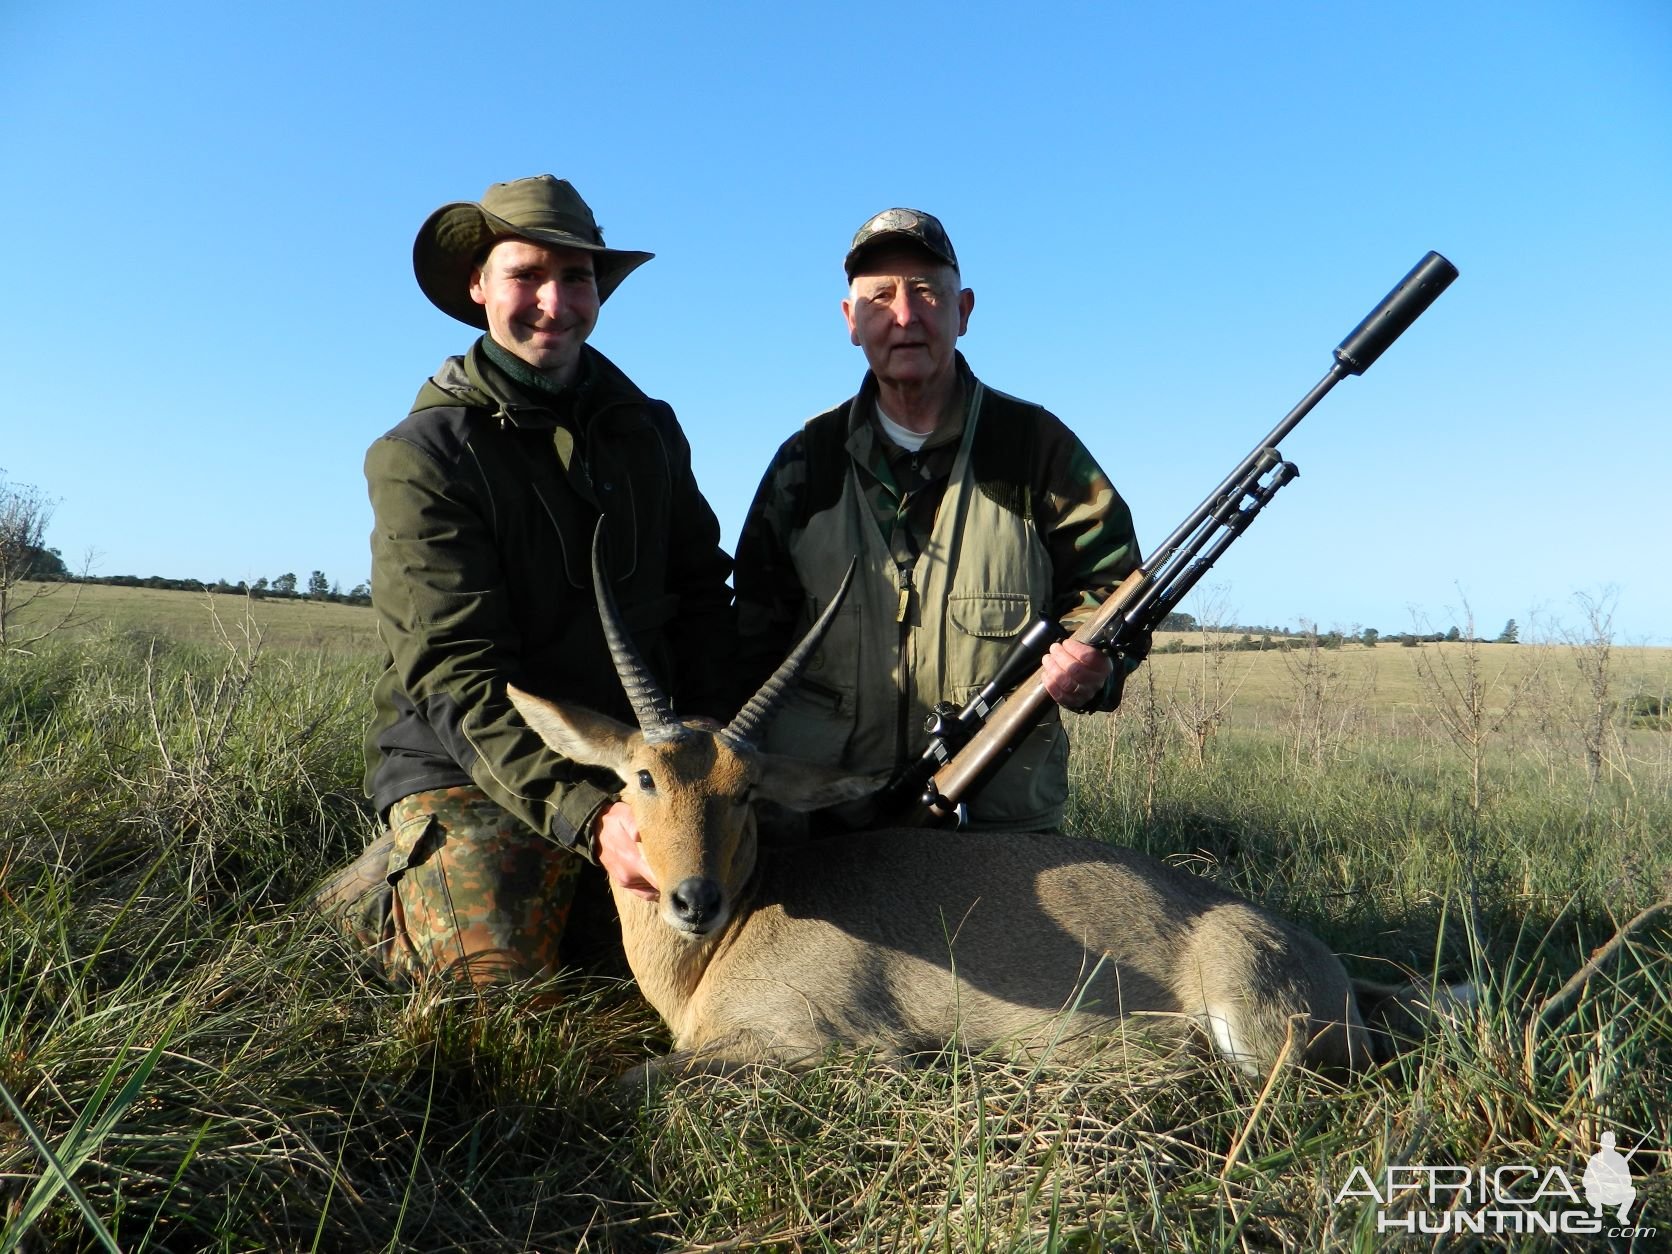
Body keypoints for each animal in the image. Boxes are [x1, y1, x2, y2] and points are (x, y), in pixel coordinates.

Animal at [504, 545, 1451, 1083]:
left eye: (747, 789)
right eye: (641, 777)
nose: (694, 898)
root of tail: (1335, 975)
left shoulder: (823, 1044)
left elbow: (635, 1080)